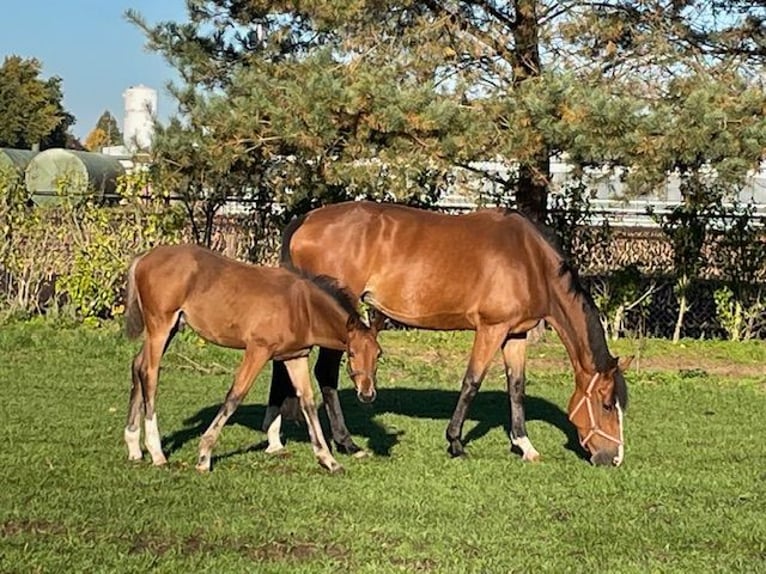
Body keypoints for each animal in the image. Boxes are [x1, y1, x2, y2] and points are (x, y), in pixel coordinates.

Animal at [124, 245, 384, 474]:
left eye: (378, 355)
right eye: (351, 353)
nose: (367, 394)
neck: (301, 306)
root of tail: (144, 257)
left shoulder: (296, 356)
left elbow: (308, 402)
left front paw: (328, 460)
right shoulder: (258, 350)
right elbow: (235, 395)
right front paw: (204, 456)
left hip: (171, 328)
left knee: (137, 365)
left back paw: (134, 446)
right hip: (160, 326)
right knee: (149, 373)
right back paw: (157, 453)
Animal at [270, 202, 636, 468]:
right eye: (606, 404)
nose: (615, 459)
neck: (530, 260)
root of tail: (306, 220)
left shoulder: (515, 335)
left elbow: (516, 387)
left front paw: (524, 445)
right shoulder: (491, 329)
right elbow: (472, 382)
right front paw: (456, 443)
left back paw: (277, 440)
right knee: (325, 374)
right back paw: (347, 443)